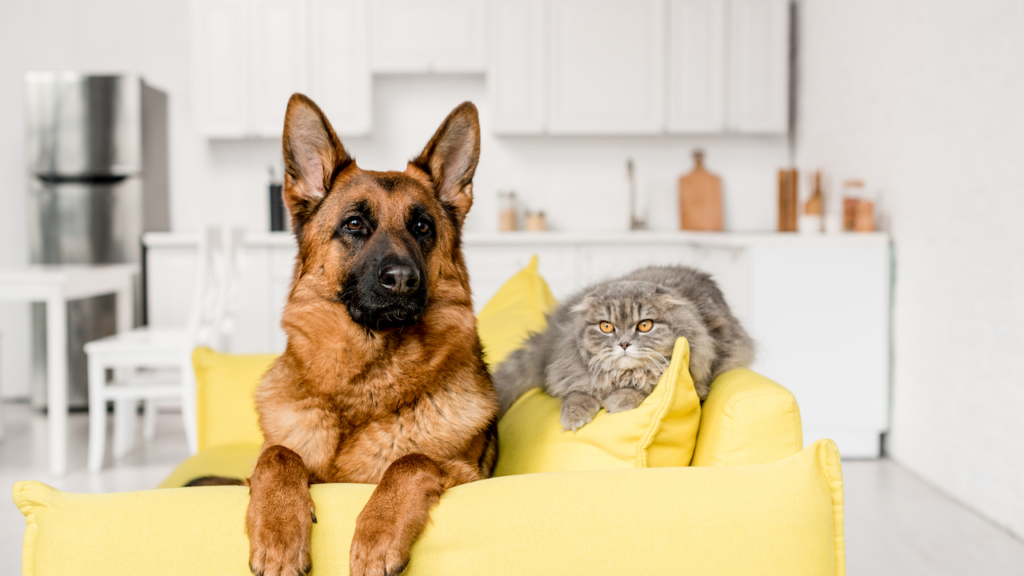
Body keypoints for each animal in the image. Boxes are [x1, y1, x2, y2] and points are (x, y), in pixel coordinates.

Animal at [247, 95, 495, 573]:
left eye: (422, 227)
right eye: (354, 224)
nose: (401, 280)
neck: (365, 382)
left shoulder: (464, 473)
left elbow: (411, 459)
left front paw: (377, 534)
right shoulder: (274, 458)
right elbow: (278, 454)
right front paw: (279, 533)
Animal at [491, 262, 757, 428]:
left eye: (645, 325)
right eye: (606, 326)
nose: (624, 343)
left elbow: (642, 388)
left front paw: (617, 402)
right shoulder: (572, 373)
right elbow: (578, 394)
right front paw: (574, 417)